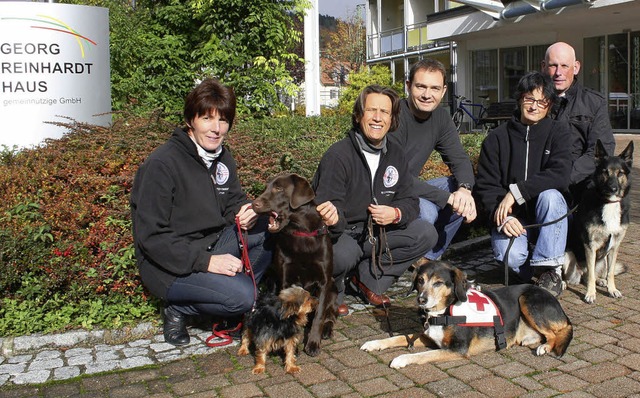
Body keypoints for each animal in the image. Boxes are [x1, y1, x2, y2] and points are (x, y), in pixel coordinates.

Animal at [360, 260, 576, 368]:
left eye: (438, 283)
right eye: (420, 280)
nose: (421, 300)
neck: (444, 311)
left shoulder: (457, 349)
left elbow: (422, 355)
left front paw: (401, 359)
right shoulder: (428, 336)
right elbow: (398, 337)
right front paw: (374, 343)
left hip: (527, 299)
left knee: (558, 332)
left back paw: (545, 347)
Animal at [564, 139, 632, 302]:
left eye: (620, 173)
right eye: (605, 172)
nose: (613, 188)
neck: (609, 203)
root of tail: (579, 272)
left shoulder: (614, 246)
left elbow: (611, 272)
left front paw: (612, 289)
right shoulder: (590, 246)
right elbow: (590, 276)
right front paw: (590, 294)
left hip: (603, 260)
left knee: (594, 274)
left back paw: (601, 281)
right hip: (567, 255)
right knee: (581, 276)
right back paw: (562, 283)